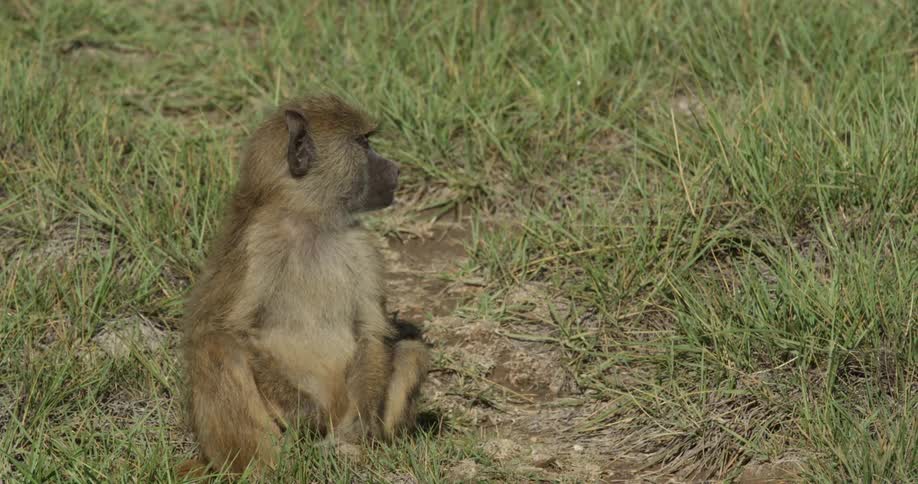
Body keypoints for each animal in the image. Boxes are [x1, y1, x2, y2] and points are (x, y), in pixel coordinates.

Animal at [176, 94, 430, 477]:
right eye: (363, 143)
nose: (396, 170)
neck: (309, 223)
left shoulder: (362, 246)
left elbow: (371, 332)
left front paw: (360, 426)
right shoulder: (256, 245)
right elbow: (230, 330)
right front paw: (304, 414)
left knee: (412, 351)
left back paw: (356, 451)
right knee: (216, 349)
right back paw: (269, 469)